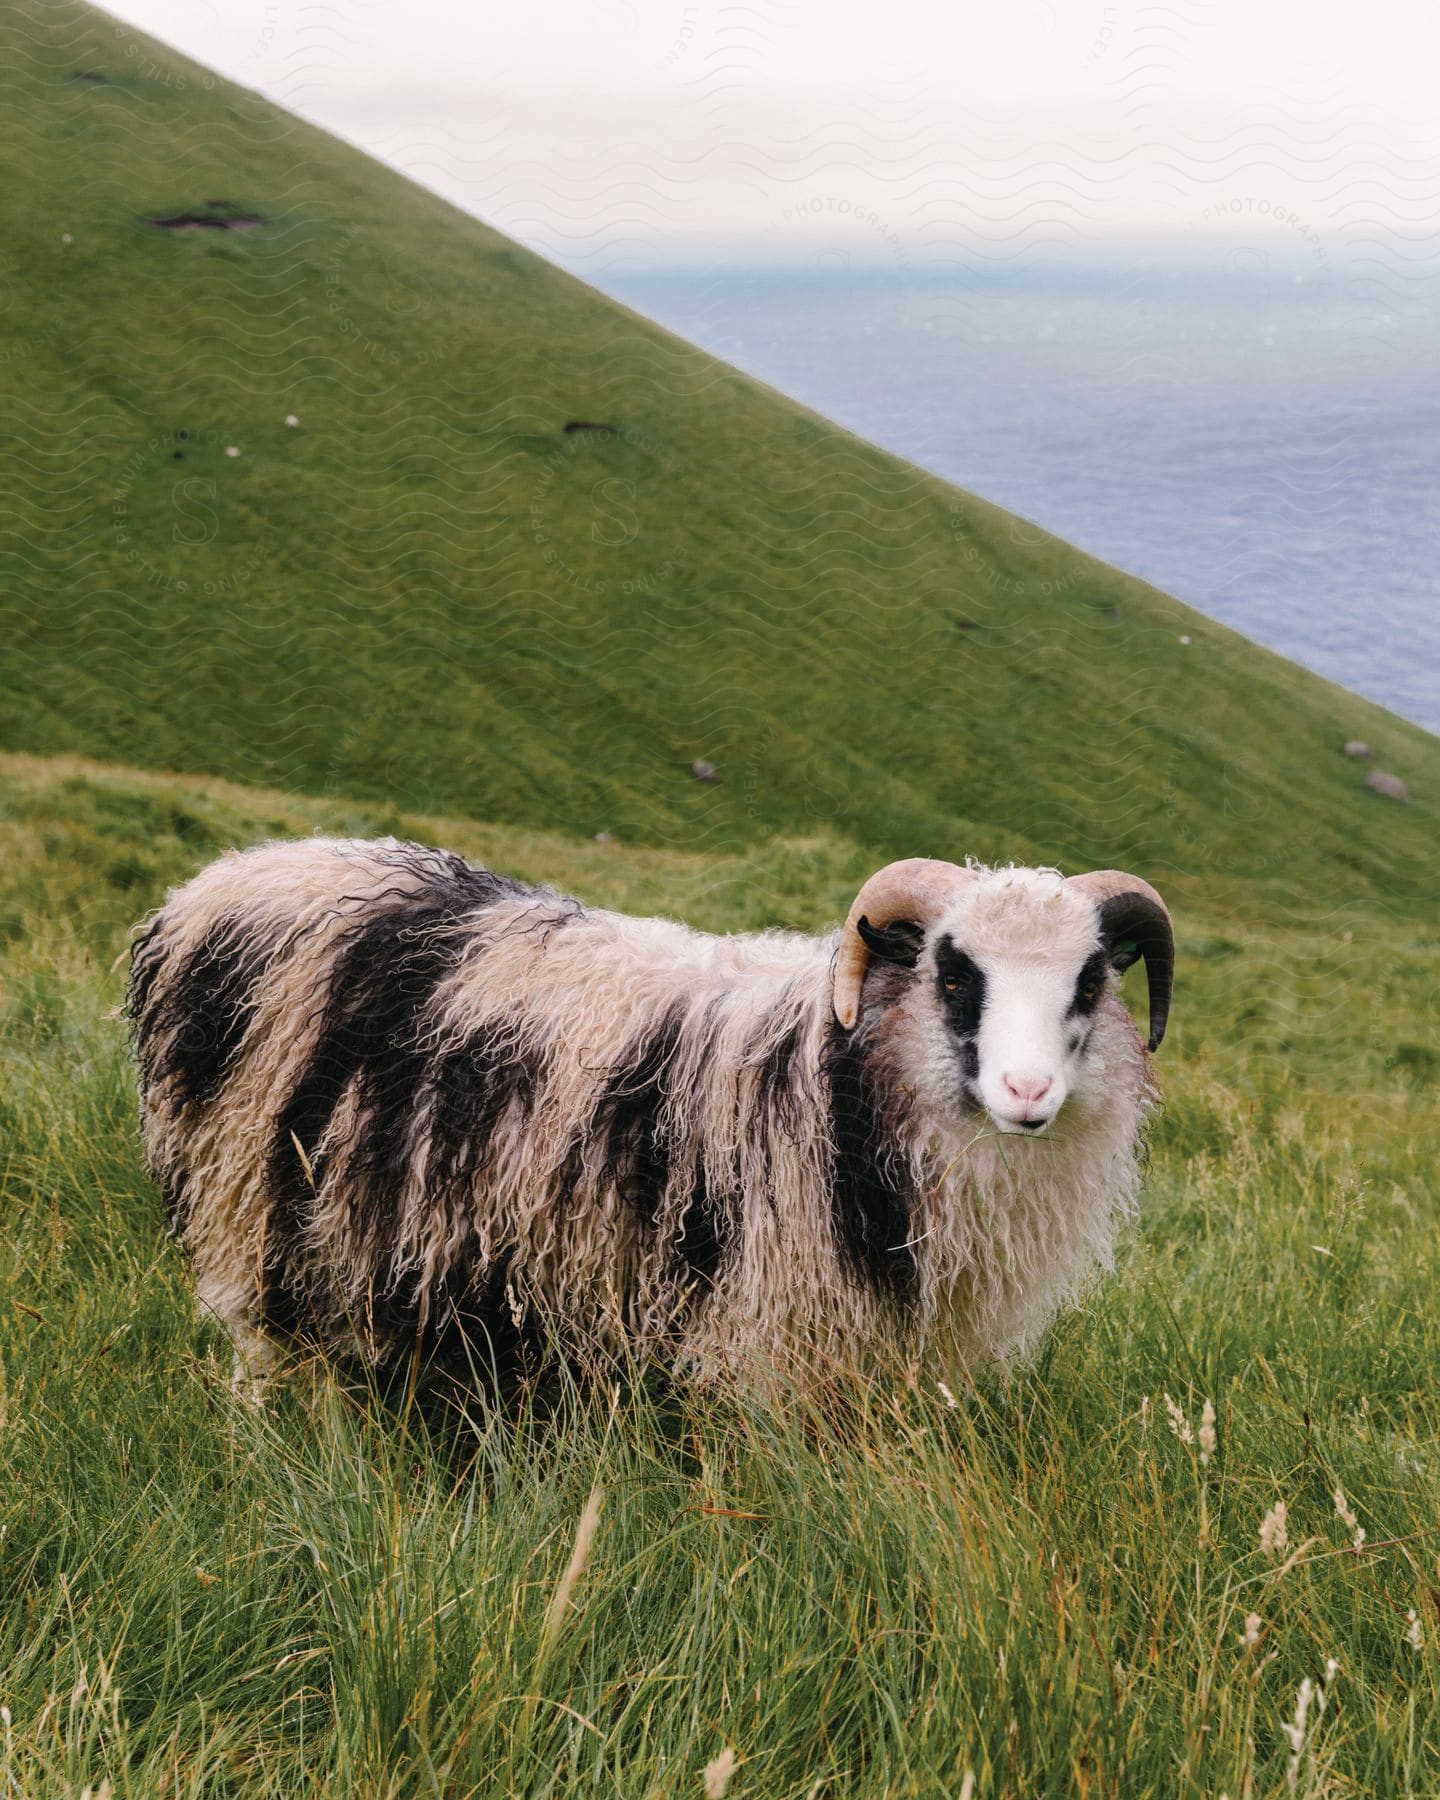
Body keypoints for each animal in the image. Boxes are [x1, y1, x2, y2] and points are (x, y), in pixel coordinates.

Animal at [129, 835, 1173, 1382]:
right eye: (954, 974)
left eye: (1089, 980)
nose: (1028, 1093)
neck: (844, 1067)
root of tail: (215, 880)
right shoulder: (770, 1331)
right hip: (243, 1189)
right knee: (262, 1343)